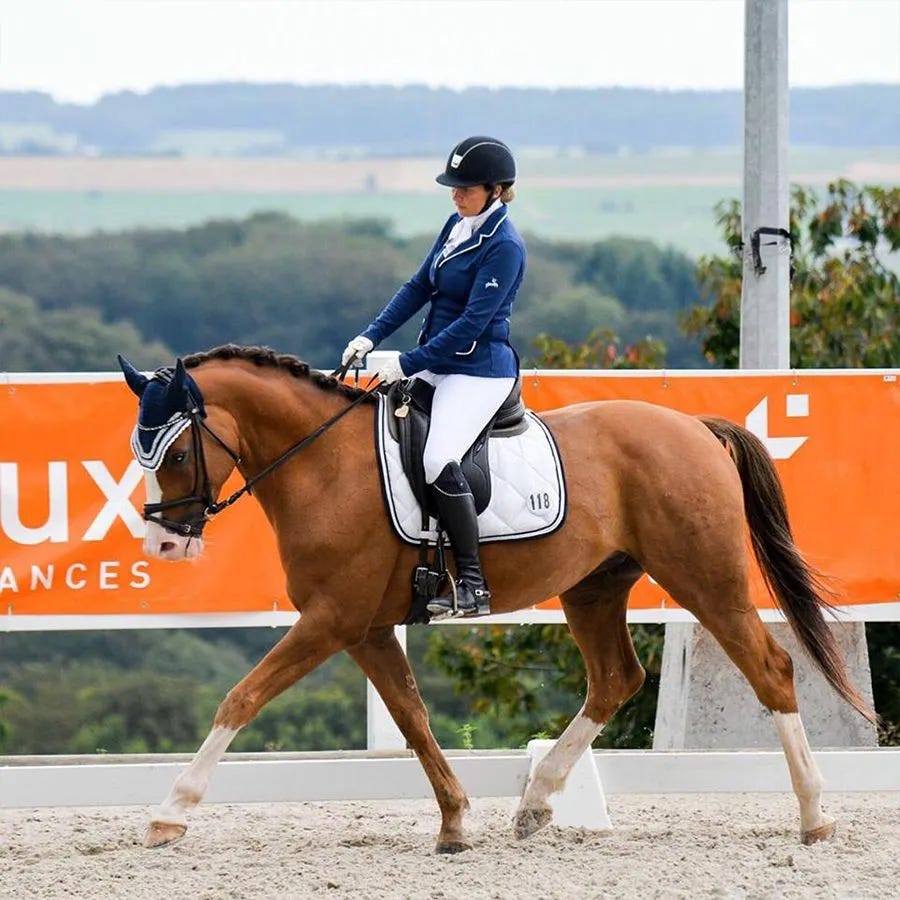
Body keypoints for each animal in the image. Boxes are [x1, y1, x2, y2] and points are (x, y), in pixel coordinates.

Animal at [116, 342, 876, 852]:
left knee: (770, 670)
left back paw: (815, 815)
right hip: (593, 588)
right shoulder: (366, 629)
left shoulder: (331, 620)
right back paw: (536, 803)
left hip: (705, 579)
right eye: (140, 454)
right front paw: (454, 821)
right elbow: (414, 719)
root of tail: (696, 428)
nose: (164, 547)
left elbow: (240, 697)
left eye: (175, 453)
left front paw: (170, 810)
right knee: (616, 678)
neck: (323, 465)